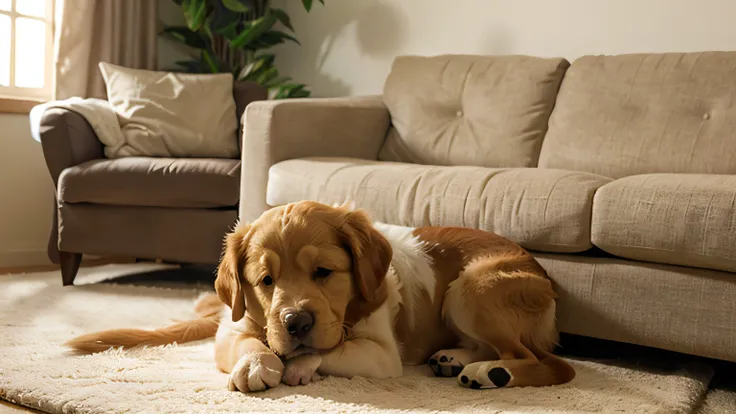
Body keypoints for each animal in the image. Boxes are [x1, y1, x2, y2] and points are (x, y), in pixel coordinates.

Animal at [67, 201, 576, 392]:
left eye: (324, 272)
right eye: (265, 280)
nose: (296, 323)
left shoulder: (382, 355)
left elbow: (337, 349)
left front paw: (300, 365)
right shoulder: (230, 328)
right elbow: (249, 341)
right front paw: (257, 363)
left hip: (472, 288)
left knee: (550, 365)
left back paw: (489, 372)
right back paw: (456, 358)